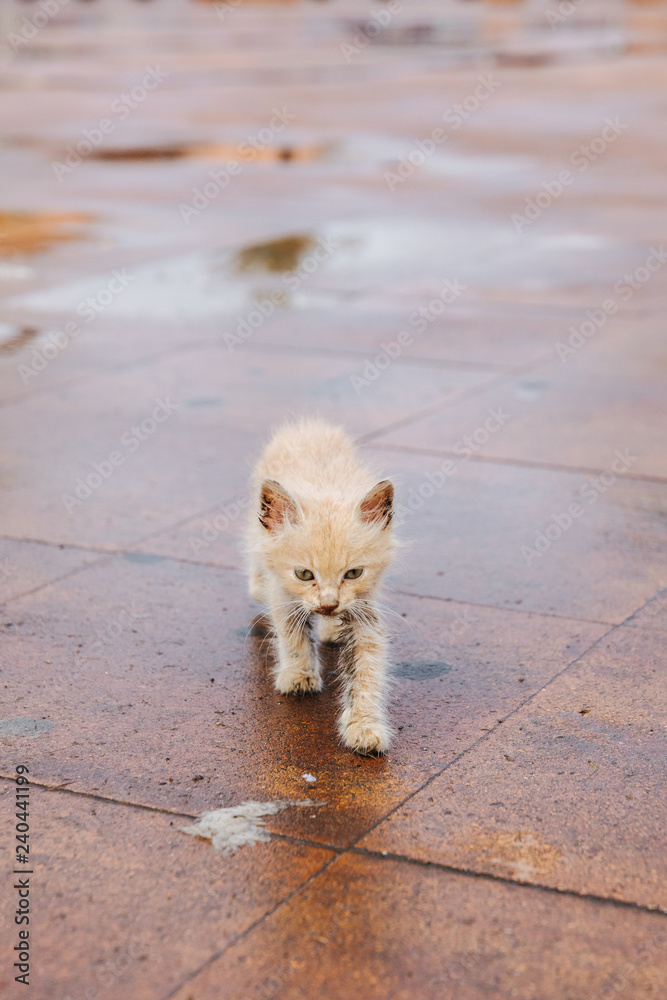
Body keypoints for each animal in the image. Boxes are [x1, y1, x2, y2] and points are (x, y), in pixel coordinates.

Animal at [248, 418, 400, 752]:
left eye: (353, 573)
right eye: (305, 575)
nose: (329, 604)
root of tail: (309, 426)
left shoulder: (365, 611)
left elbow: (367, 672)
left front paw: (364, 728)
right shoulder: (284, 594)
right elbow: (291, 636)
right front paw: (299, 677)